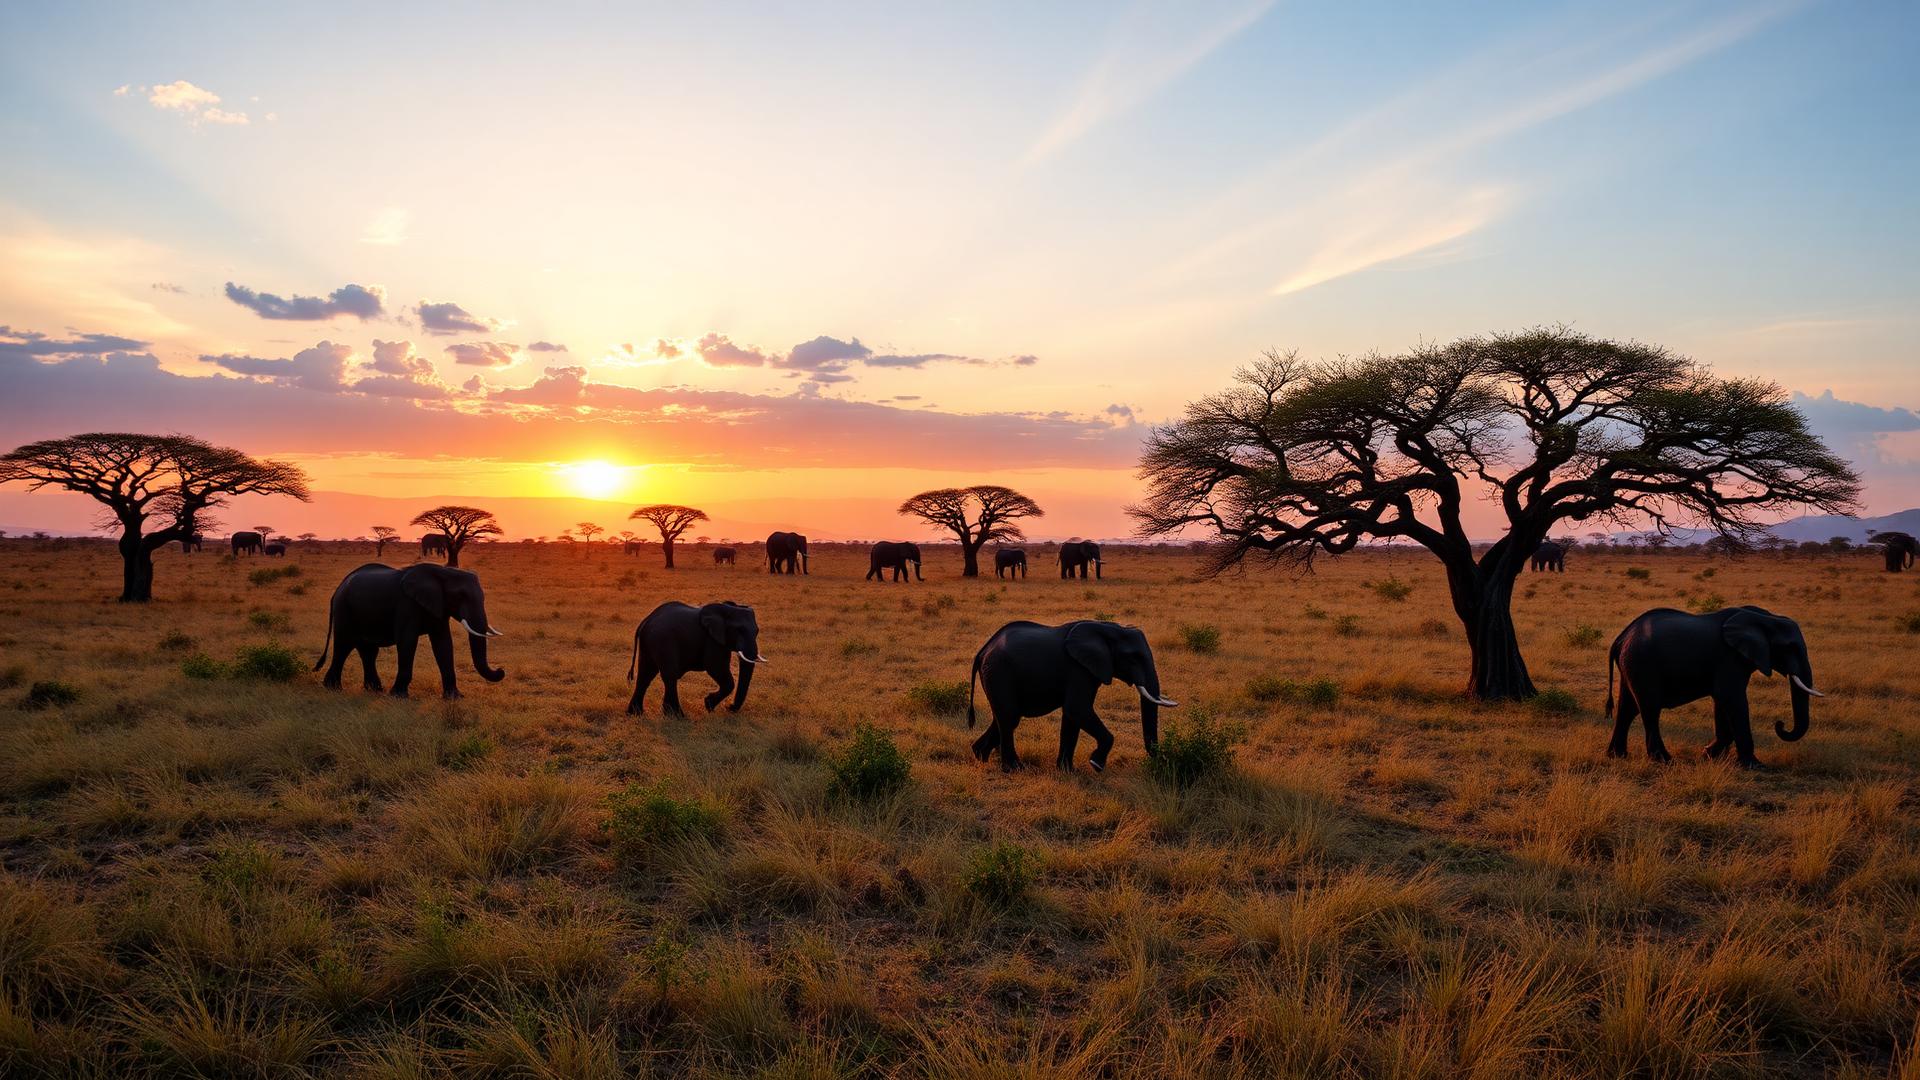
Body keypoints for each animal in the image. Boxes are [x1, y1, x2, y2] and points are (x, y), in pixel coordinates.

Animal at [314, 563, 505, 699]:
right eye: (460, 596)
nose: (501, 670)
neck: (442, 572)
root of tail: (338, 589)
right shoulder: (407, 604)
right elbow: (407, 641)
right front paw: (398, 696)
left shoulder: (438, 606)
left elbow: (443, 643)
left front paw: (454, 698)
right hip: (344, 610)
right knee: (344, 646)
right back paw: (333, 688)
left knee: (368, 651)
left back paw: (374, 690)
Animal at [626, 600, 765, 718]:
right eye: (739, 630)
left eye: (757, 631)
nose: (729, 707)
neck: (727, 609)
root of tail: (646, 620)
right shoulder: (712, 640)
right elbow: (715, 668)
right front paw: (708, 705)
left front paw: (709, 705)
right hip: (663, 641)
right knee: (669, 676)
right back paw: (678, 717)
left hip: (650, 642)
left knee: (646, 674)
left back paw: (635, 714)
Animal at [967, 620, 1177, 772]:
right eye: (1133, 658)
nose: (1159, 761)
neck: (1109, 629)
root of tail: (983, 649)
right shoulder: (1079, 669)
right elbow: (1077, 709)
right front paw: (1096, 765)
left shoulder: (1089, 670)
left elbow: (1072, 717)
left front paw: (1067, 771)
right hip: (999, 672)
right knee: (1009, 718)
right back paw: (1014, 769)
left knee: (1004, 718)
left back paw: (980, 756)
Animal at [1605, 606, 1821, 769]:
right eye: (1790, 647)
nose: (1780, 724)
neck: (1766, 618)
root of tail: (1621, 637)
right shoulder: (1729, 657)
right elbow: (1732, 698)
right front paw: (1755, 766)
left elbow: (1722, 701)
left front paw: (1708, 755)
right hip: (1642, 664)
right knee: (1649, 709)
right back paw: (1665, 761)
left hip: (1631, 664)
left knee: (1628, 708)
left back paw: (1617, 756)